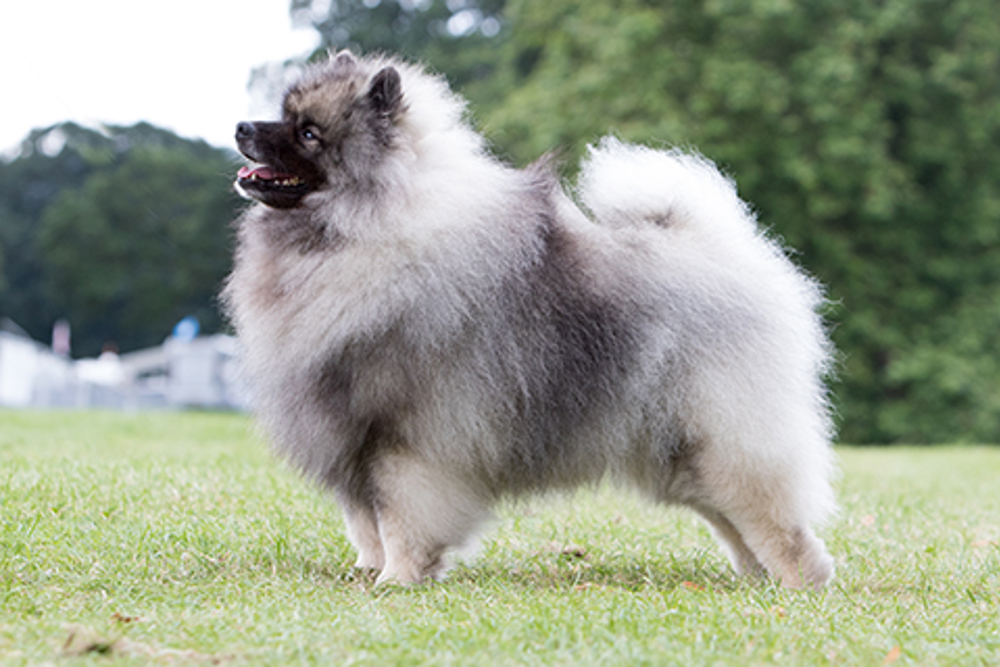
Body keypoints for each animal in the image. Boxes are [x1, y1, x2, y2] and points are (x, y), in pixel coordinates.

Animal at [225, 52, 836, 588]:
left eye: (308, 133)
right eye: (282, 115)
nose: (240, 126)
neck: (366, 228)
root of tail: (729, 253)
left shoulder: (406, 442)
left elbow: (399, 519)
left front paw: (397, 580)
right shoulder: (351, 438)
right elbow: (365, 521)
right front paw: (370, 571)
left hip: (724, 439)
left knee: (779, 524)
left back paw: (797, 584)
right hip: (682, 453)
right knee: (733, 520)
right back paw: (756, 578)